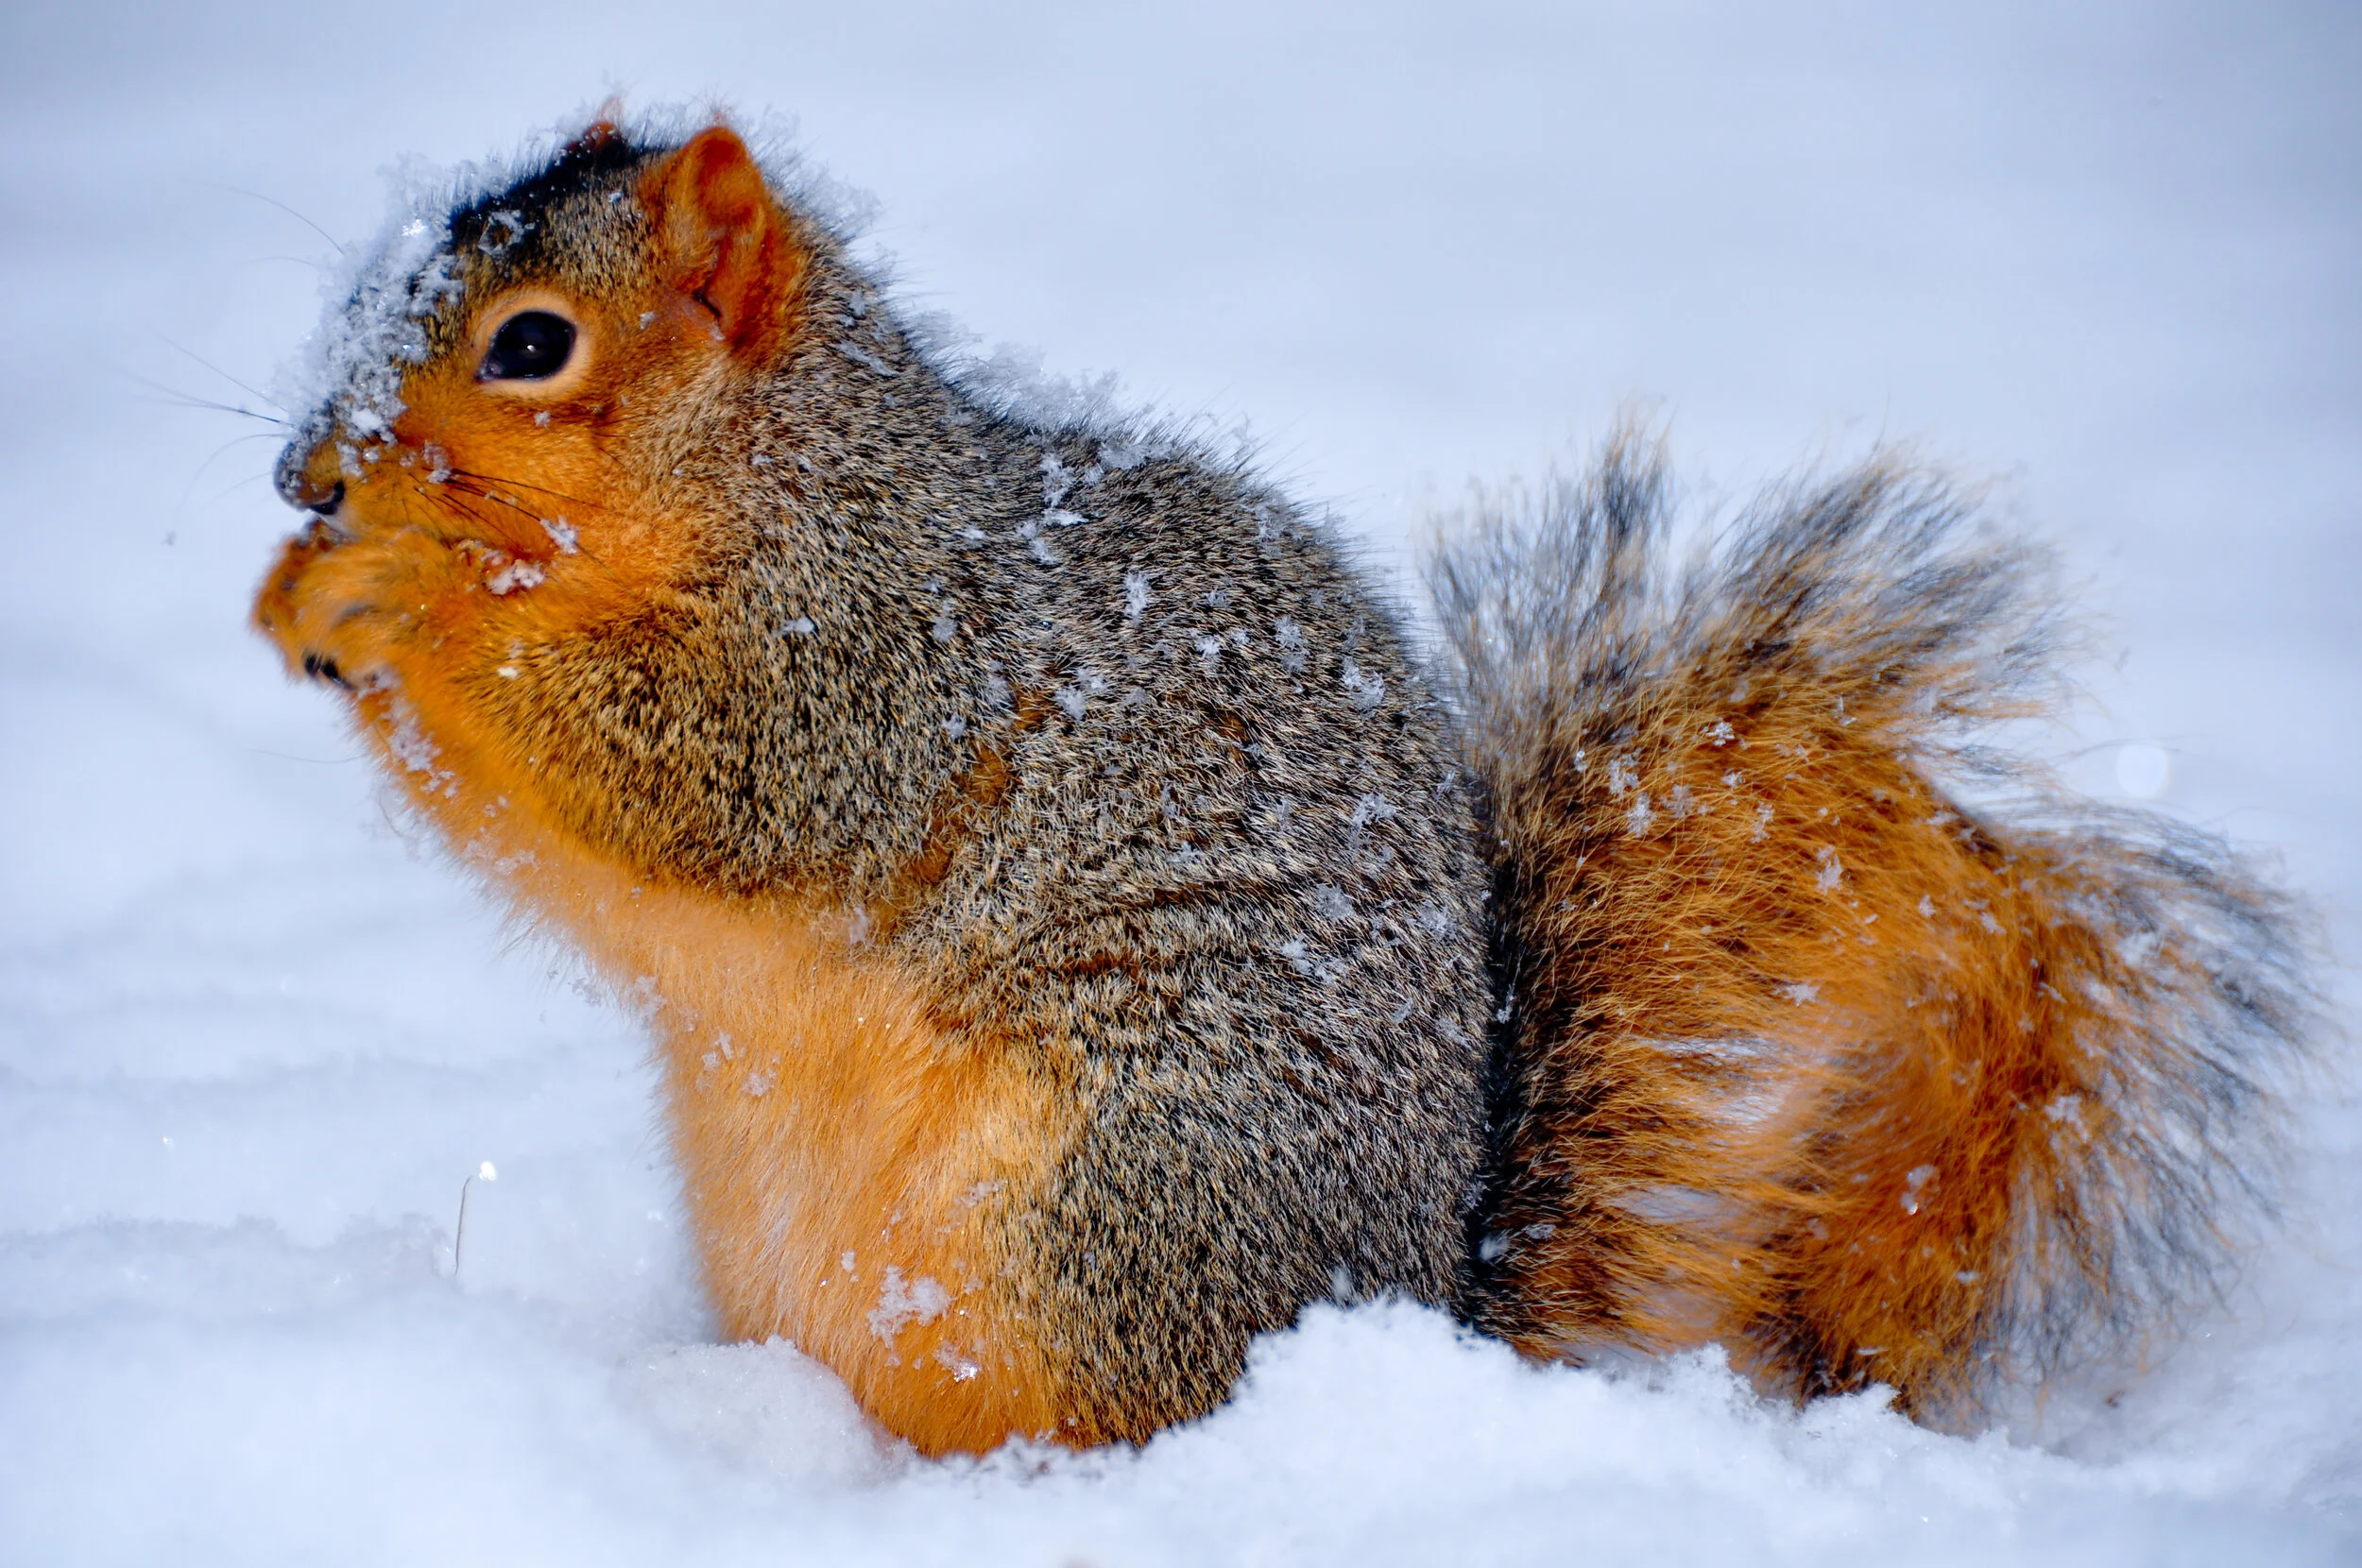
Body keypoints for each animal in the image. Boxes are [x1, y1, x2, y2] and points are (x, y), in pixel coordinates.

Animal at [252, 116, 2316, 1456]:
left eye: (534, 345)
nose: (303, 473)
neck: (781, 471)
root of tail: (1410, 1309)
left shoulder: (879, 659)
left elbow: (699, 775)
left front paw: (397, 590)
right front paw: (305, 591)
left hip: (1109, 1185)